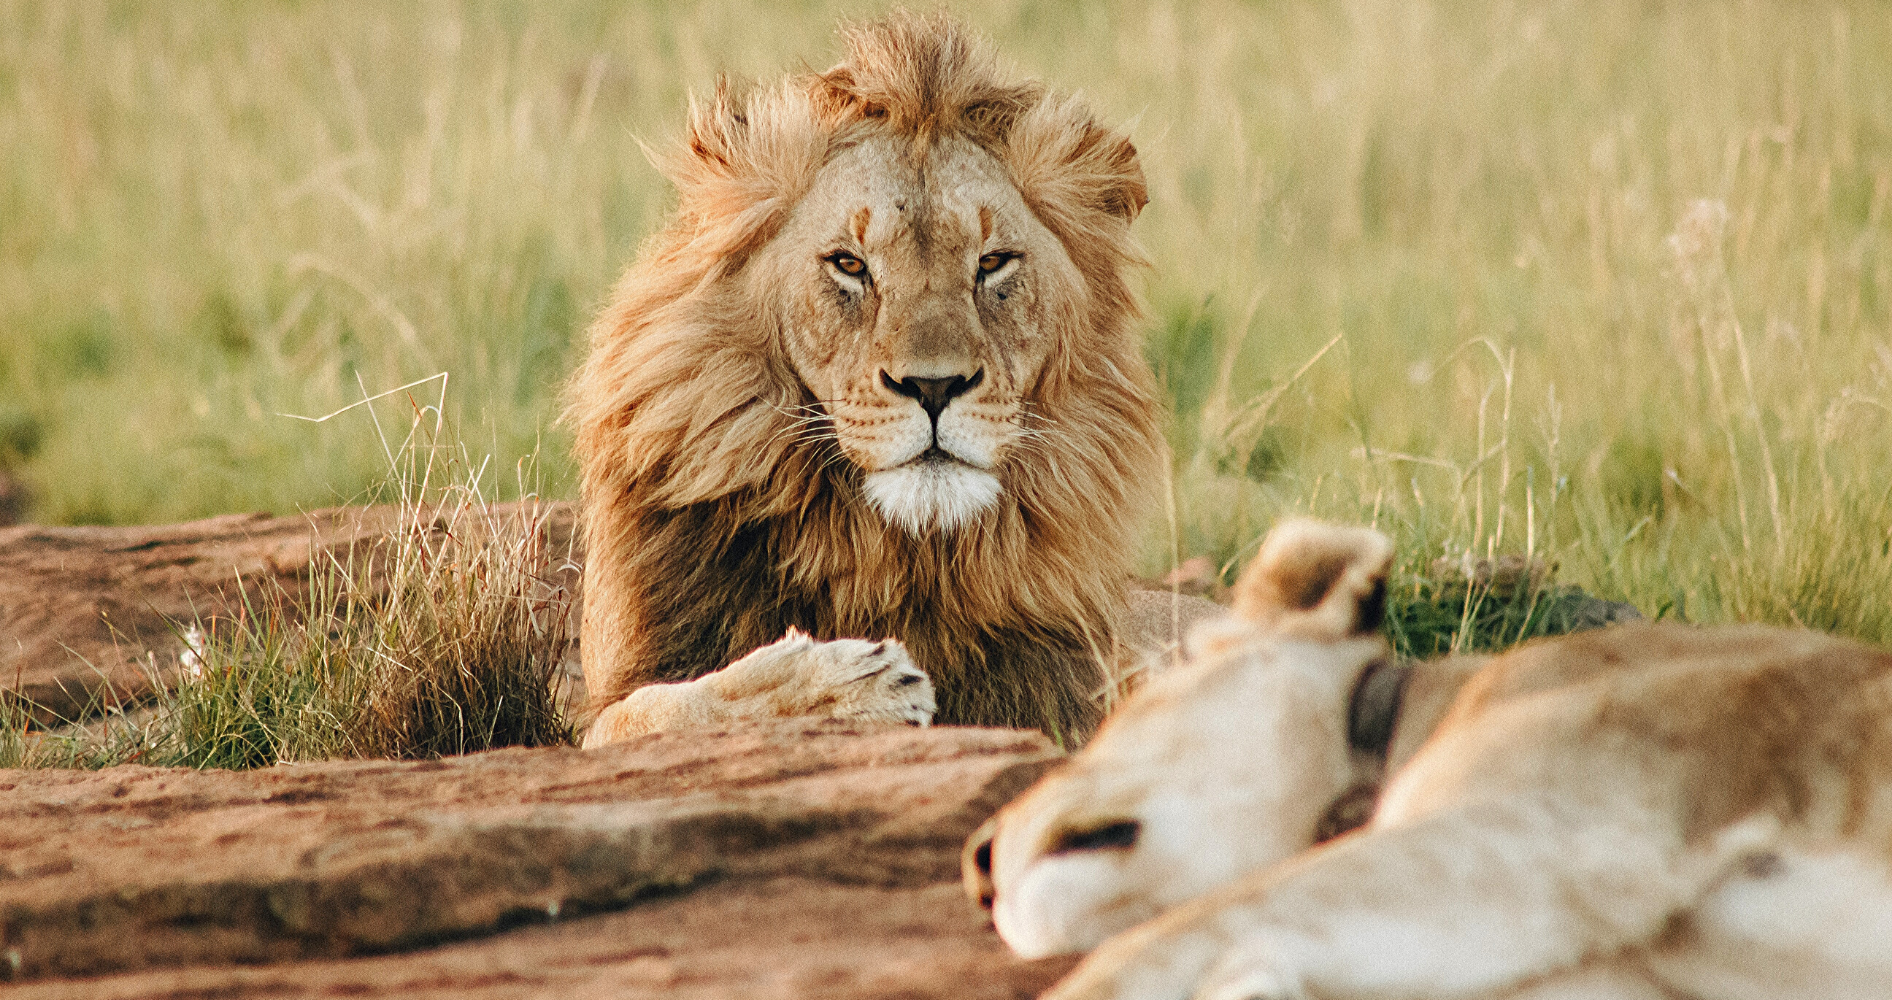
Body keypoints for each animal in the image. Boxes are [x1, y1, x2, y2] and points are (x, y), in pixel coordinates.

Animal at [567, 11, 1210, 744]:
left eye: (993, 263)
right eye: (850, 264)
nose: (934, 387)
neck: (889, 555)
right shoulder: (615, 697)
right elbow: (668, 707)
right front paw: (844, 686)